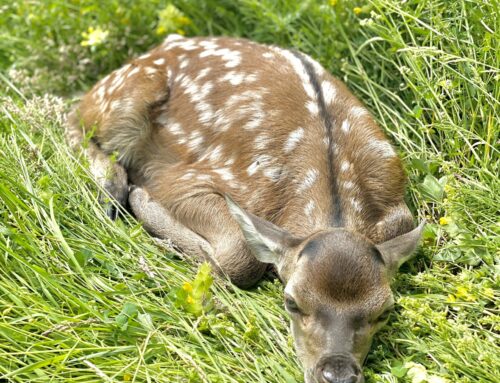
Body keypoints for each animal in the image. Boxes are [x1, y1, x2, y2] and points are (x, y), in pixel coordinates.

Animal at [66, 34, 424, 382]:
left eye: (385, 310)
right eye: (291, 301)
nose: (336, 373)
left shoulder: (399, 214)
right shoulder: (183, 180)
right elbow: (240, 257)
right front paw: (144, 202)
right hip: (125, 98)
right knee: (73, 122)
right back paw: (112, 189)